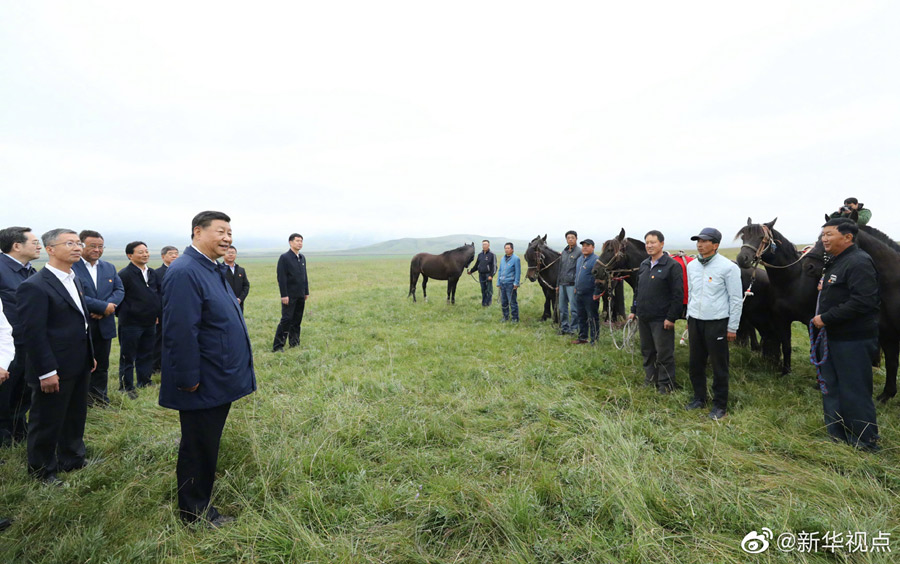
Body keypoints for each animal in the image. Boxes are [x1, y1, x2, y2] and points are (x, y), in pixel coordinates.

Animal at [736, 219, 820, 374]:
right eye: (743, 237)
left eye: (761, 238)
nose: (742, 259)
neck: (793, 281)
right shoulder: (782, 320)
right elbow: (786, 346)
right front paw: (786, 371)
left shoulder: (811, 320)